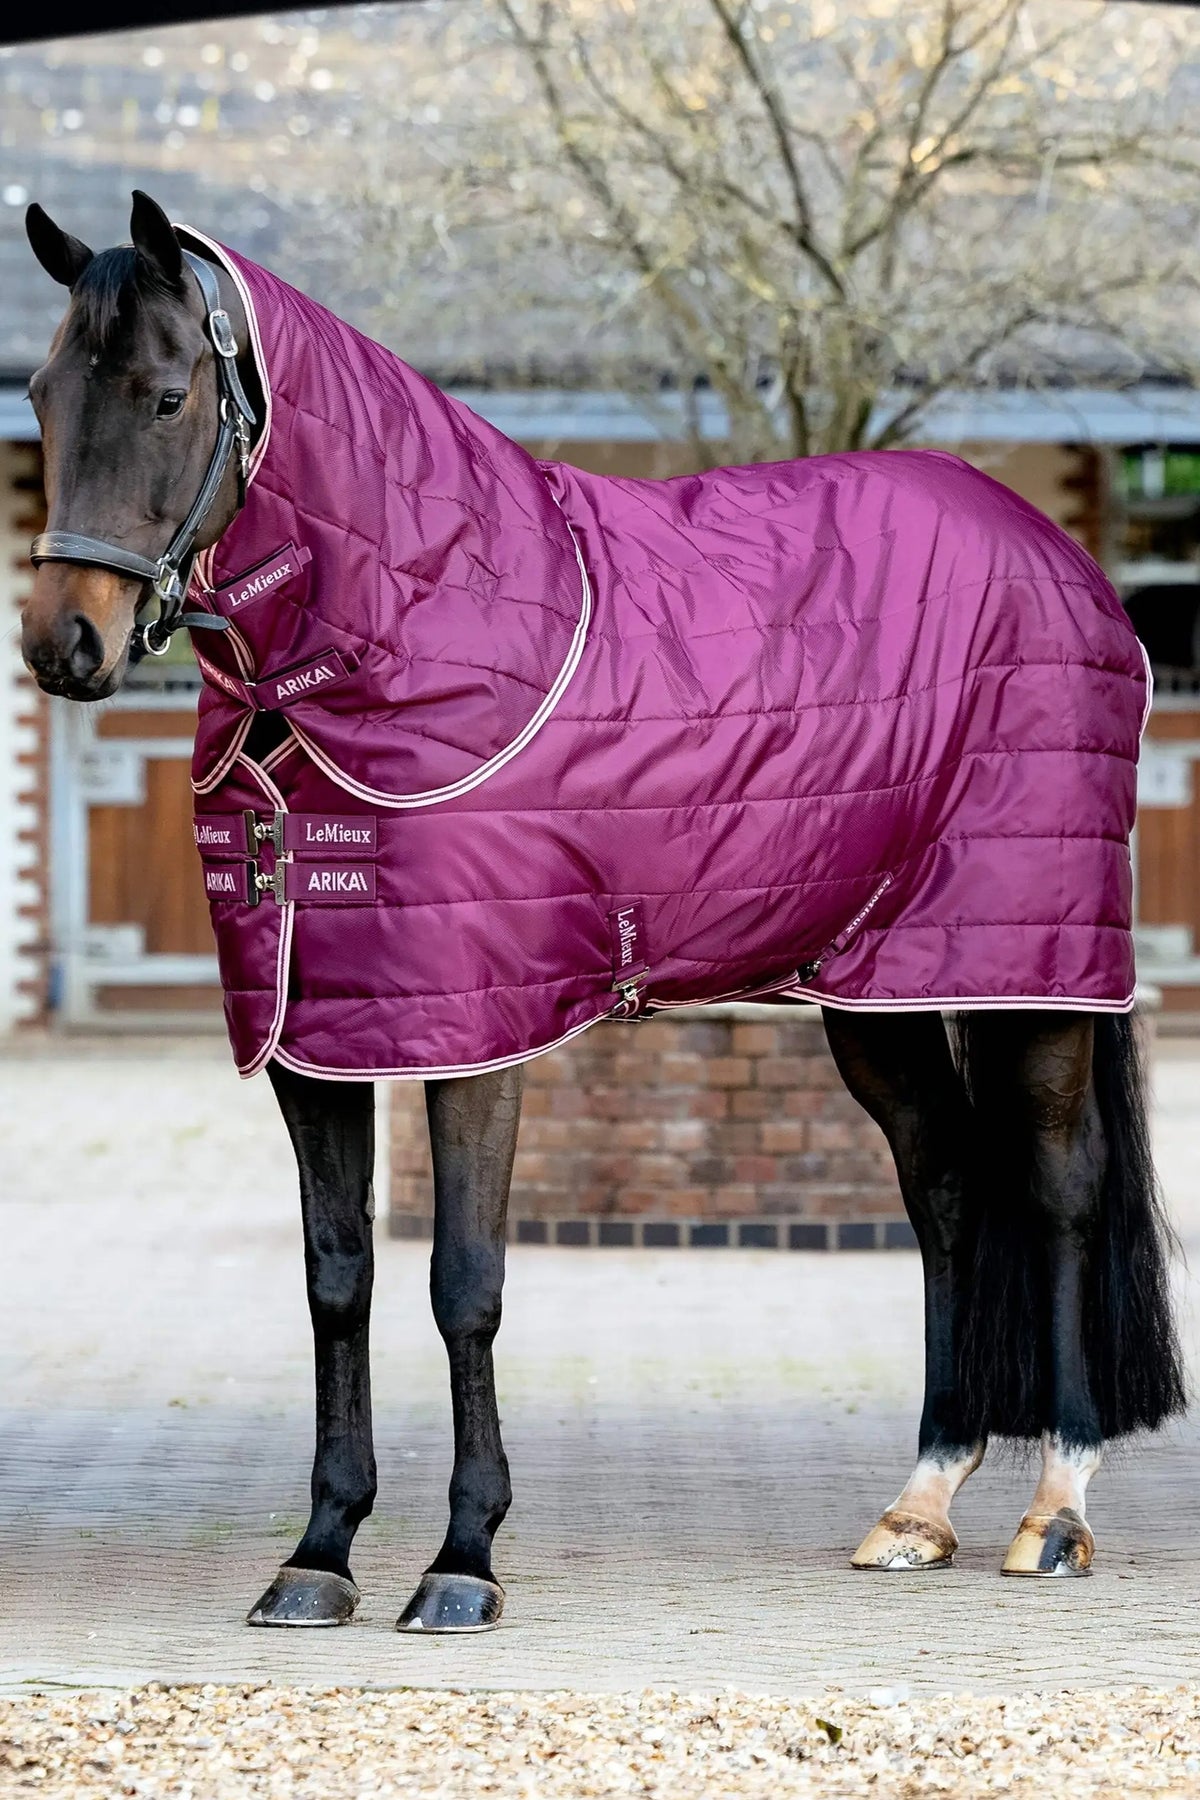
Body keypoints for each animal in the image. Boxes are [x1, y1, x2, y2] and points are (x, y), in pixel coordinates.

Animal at [19, 191, 1185, 1632]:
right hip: (881, 992)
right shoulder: (315, 1037)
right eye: (42, 394)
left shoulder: (478, 1032)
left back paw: (1056, 1512)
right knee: (949, 1190)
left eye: (170, 395)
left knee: (1062, 1188)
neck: (413, 623)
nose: (63, 643)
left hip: (1032, 971)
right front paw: (320, 1551)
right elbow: (336, 1281)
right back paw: (920, 1504)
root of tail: (1062, 565)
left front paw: (462, 1561)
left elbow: (464, 1283)